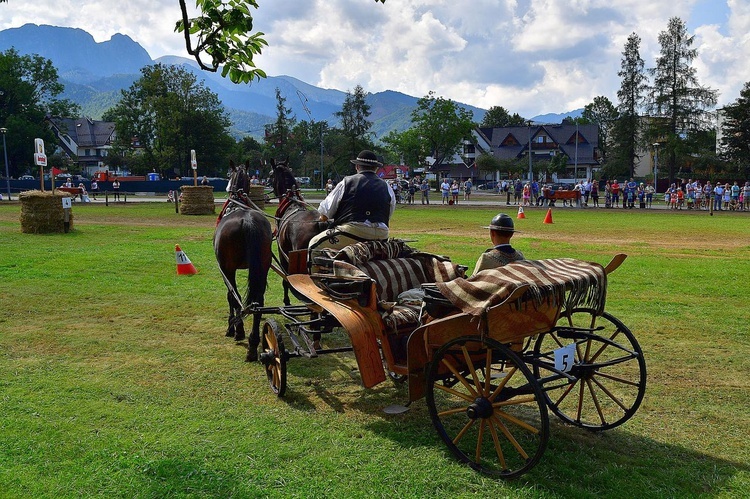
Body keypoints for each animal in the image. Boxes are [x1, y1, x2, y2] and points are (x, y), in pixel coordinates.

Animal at [214, 160, 274, 360]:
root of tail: (248, 221)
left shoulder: (226, 270)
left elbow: (231, 296)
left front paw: (234, 328)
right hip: (263, 267)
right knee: (258, 302)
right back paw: (254, 343)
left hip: (228, 267)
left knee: (236, 296)